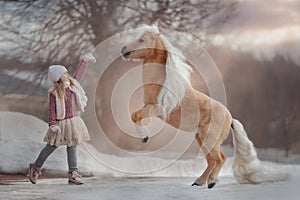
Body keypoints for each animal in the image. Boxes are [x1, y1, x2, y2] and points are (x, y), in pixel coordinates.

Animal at [120, 25, 288, 188]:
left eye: (141, 40)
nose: (123, 49)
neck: (162, 82)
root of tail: (230, 118)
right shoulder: (147, 106)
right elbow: (134, 115)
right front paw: (144, 137)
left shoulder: (157, 109)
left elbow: (135, 115)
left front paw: (144, 137)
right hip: (201, 138)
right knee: (212, 161)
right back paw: (199, 182)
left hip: (209, 139)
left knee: (220, 158)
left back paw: (211, 182)